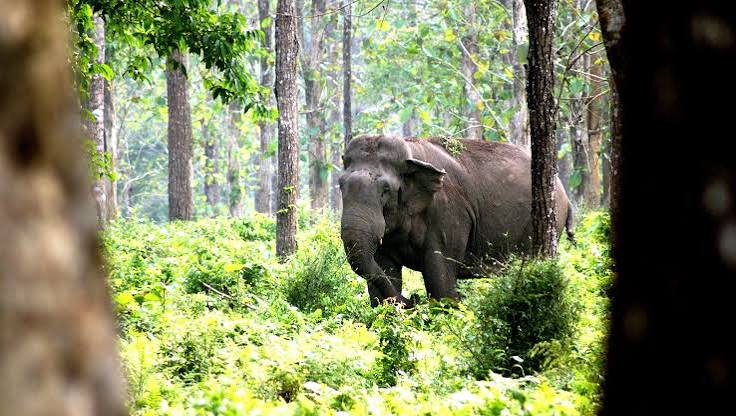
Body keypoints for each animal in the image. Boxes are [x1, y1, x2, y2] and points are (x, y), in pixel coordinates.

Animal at [338, 135, 574, 307]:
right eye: (340, 185)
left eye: (386, 190)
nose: (413, 299)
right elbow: (383, 271)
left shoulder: (448, 213)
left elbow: (440, 276)